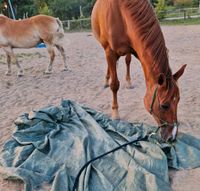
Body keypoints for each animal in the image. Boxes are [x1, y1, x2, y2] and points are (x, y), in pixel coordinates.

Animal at [91, 0, 187, 140]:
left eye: (178, 99)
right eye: (164, 105)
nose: (172, 137)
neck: (120, 11)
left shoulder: (137, 49)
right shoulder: (110, 51)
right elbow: (114, 85)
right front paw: (115, 113)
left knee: (126, 61)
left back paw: (128, 82)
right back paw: (106, 80)